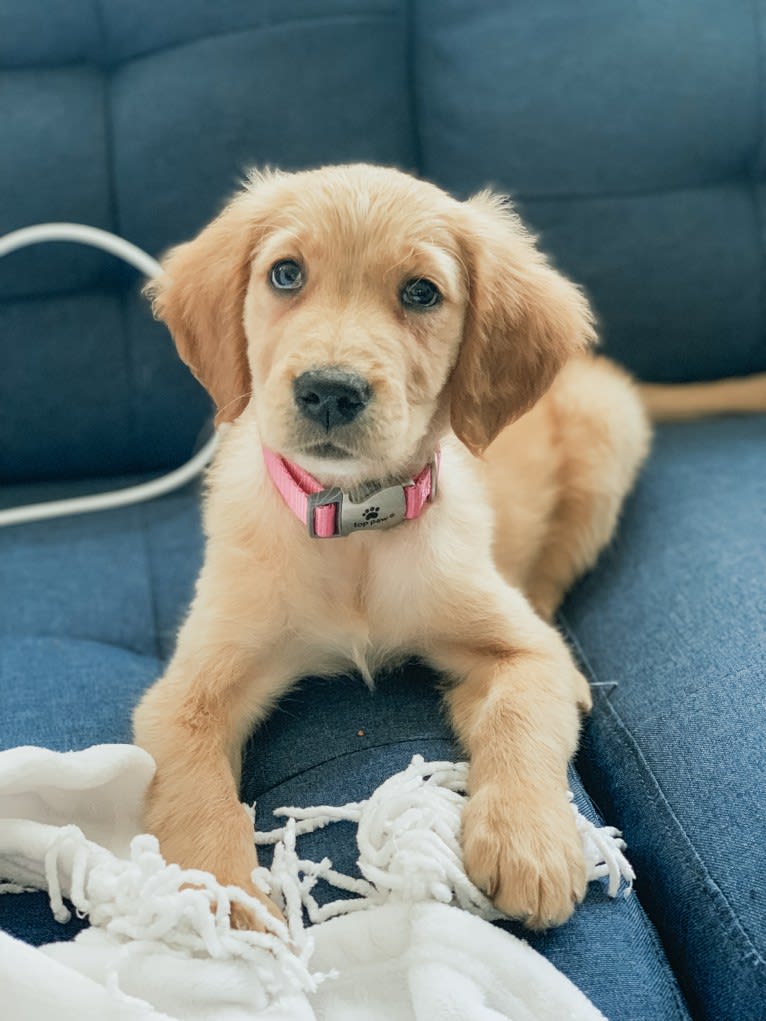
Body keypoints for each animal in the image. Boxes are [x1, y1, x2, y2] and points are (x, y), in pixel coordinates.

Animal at [131, 161, 763, 935]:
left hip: (606, 433)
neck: (355, 524)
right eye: (285, 274)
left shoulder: (527, 650)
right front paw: (226, 905)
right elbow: (196, 794)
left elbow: (524, 708)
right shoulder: (183, 696)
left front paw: (529, 839)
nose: (330, 391)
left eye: (421, 292)